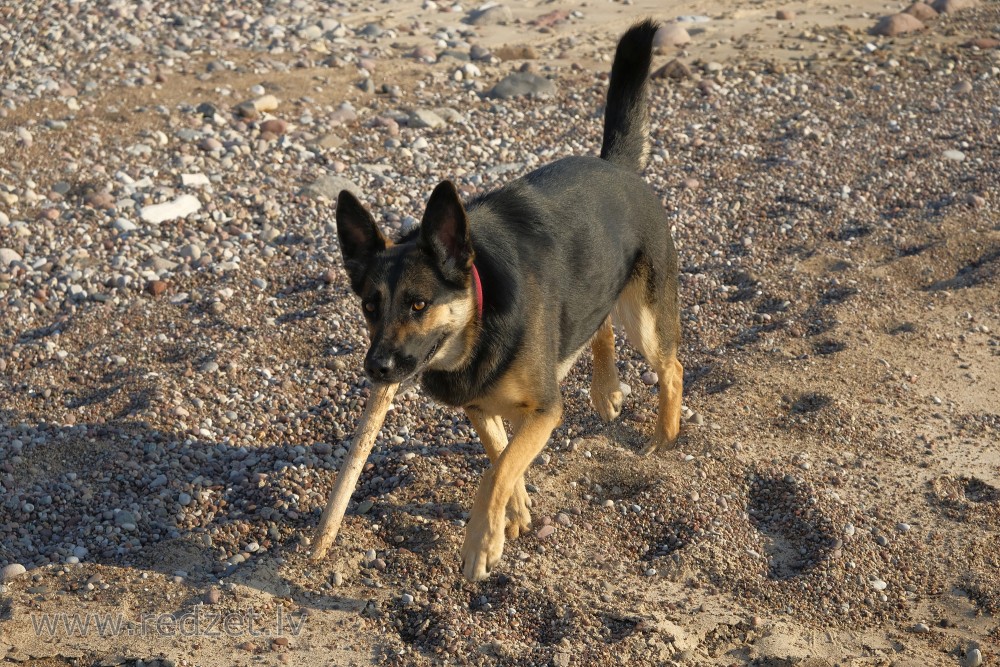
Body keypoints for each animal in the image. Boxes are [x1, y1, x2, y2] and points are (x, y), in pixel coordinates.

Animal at [334, 20, 680, 580]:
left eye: (417, 304)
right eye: (369, 305)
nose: (377, 368)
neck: (479, 322)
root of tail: (617, 167)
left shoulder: (544, 410)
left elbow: (495, 472)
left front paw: (481, 542)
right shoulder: (483, 405)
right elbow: (500, 455)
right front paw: (513, 513)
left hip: (646, 317)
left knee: (671, 367)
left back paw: (664, 435)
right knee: (597, 325)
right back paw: (606, 390)